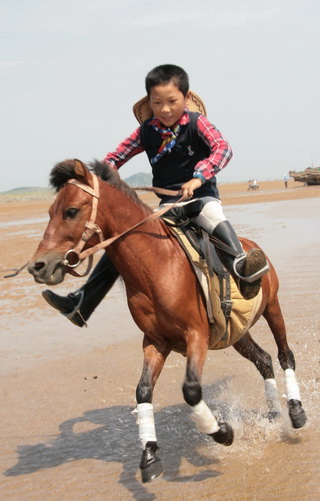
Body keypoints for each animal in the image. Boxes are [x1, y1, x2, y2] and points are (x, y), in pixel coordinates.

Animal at [28, 159, 306, 480]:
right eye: (50, 211)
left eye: (71, 211)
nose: (38, 266)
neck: (157, 265)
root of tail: (251, 245)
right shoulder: (155, 341)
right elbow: (143, 391)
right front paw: (149, 455)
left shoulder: (196, 335)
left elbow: (191, 390)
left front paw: (221, 432)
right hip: (236, 333)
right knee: (263, 359)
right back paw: (273, 412)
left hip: (273, 306)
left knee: (285, 355)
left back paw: (296, 412)